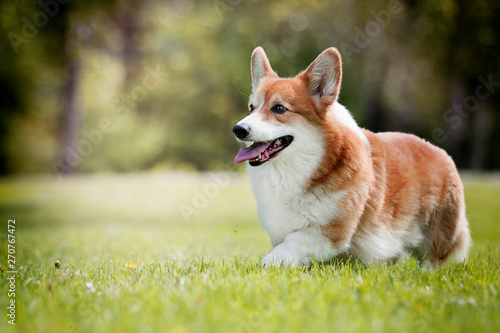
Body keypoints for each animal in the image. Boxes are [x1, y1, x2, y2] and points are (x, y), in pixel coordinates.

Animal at [232, 46, 470, 268]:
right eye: (252, 107)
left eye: (279, 108)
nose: (238, 130)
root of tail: (438, 150)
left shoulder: (328, 233)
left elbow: (286, 248)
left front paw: (262, 267)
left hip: (437, 229)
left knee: (433, 258)